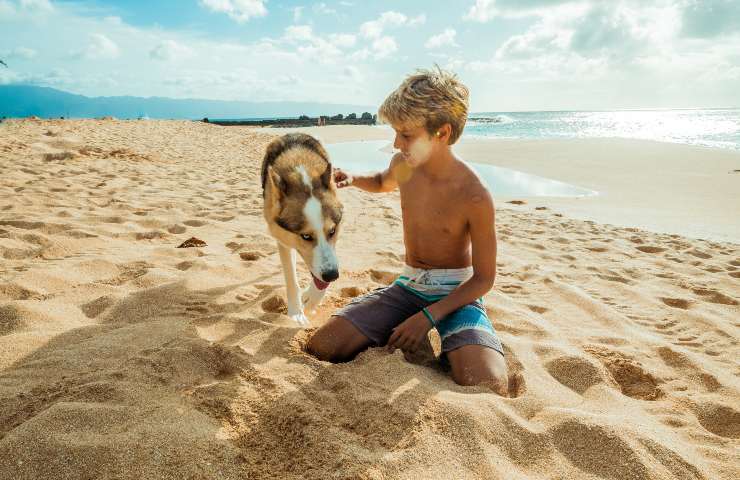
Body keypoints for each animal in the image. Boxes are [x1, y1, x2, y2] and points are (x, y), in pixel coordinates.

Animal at [262, 133, 342, 324]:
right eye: (306, 236)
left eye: (332, 231)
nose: (332, 275)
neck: (302, 172)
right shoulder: (282, 239)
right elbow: (291, 278)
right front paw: (296, 312)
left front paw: (312, 299)